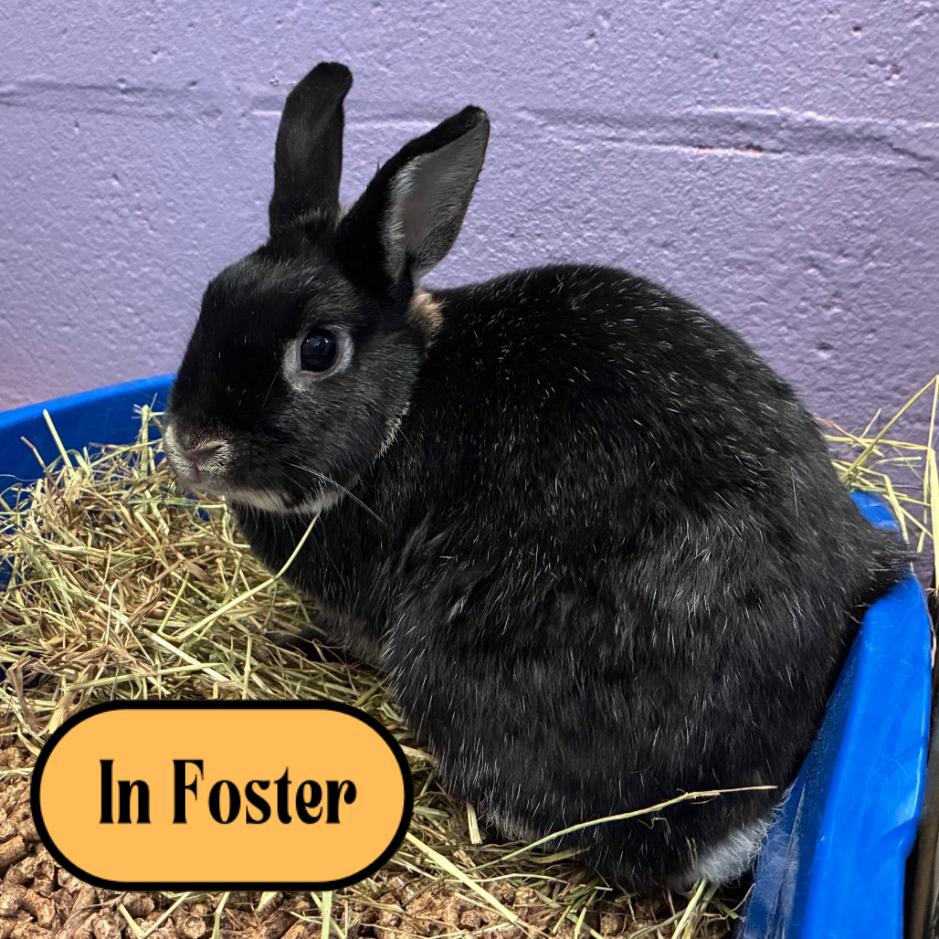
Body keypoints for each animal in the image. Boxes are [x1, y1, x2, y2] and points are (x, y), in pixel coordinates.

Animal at [163, 61, 906, 889]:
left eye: (318, 349)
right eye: (210, 299)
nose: (194, 443)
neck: (405, 401)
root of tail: (728, 819)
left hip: (455, 654)